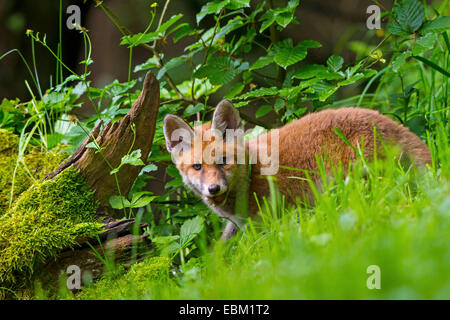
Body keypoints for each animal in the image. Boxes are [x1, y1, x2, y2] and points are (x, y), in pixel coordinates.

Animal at [163, 99, 432, 239]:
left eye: (223, 161)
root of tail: (388, 122)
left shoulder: (271, 220)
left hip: (350, 184)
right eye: (197, 166)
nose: (213, 188)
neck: (251, 175)